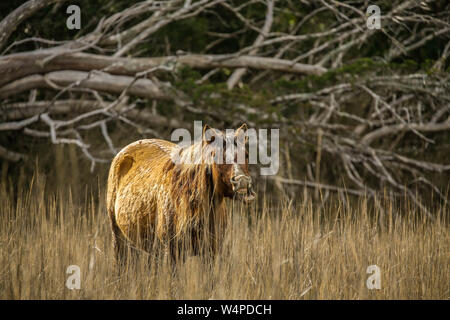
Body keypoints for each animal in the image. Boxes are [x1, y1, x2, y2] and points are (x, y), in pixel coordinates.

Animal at [104, 124, 253, 264]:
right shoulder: (172, 253)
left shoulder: (210, 253)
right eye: (217, 156)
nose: (242, 182)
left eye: (246, 155)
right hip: (119, 239)